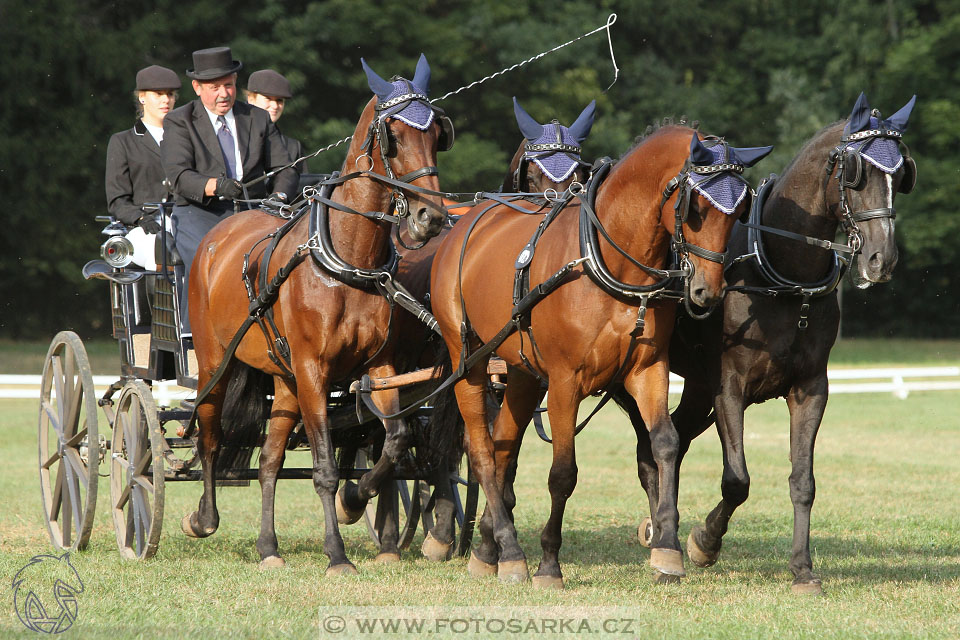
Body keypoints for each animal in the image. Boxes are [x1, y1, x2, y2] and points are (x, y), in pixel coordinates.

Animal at [184, 55, 450, 572]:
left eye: (436, 133)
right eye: (393, 134)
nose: (430, 217)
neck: (347, 258)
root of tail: (220, 232)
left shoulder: (379, 366)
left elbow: (395, 440)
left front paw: (354, 499)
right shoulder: (314, 370)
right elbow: (325, 466)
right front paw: (337, 552)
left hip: (286, 380)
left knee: (269, 459)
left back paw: (268, 547)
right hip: (215, 361)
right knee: (208, 433)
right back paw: (202, 518)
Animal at [428, 122, 772, 588]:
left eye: (739, 210)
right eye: (697, 206)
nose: (707, 291)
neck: (611, 261)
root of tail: (464, 223)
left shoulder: (648, 369)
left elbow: (665, 444)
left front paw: (667, 549)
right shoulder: (564, 381)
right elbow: (563, 473)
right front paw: (549, 563)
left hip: (522, 371)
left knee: (503, 446)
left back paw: (490, 549)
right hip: (469, 359)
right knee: (481, 450)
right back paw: (512, 551)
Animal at [624, 91, 916, 596]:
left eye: (900, 175)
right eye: (855, 173)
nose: (882, 259)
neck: (783, 275)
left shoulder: (810, 388)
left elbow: (803, 481)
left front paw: (802, 569)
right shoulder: (729, 388)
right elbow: (736, 480)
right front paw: (704, 542)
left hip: (696, 389)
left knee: (664, 448)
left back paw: (659, 530)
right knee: (652, 450)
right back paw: (665, 536)